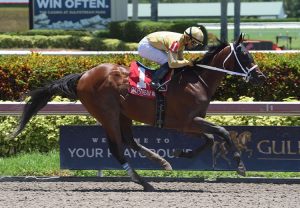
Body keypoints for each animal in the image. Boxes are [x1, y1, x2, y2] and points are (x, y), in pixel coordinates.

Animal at [11, 33, 264, 191]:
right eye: (245, 55)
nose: (260, 76)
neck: (197, 80)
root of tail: (83, 75)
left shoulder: (190, 122)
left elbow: (211, 137)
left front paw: (181, 153)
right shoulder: (186, 121)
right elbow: (221, 132)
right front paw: (240, 167)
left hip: (124, 114)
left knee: (130, 141)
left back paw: (161, 163)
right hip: (107, 114)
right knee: (117, 147)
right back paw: (143, 181)